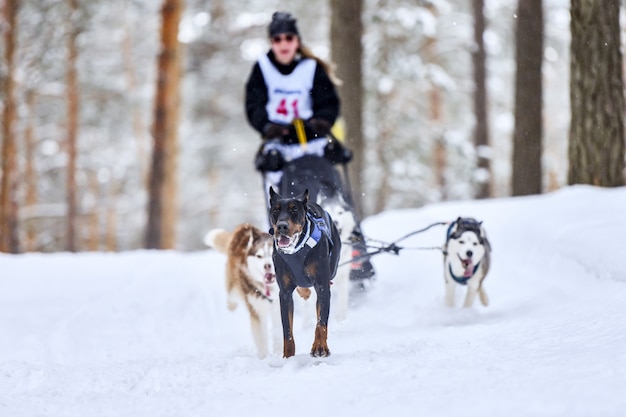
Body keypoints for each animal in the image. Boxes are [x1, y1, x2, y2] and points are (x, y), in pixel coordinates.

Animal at [266, 187, 338, 356]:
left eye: (294, 210)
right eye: (275, 210)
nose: (282, 226)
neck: (296, 250)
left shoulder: (322, 286)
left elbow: (321, 322)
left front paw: (320, 347)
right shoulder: (284, 293)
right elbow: (287, 330)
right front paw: (288, 356)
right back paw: (304, 290)